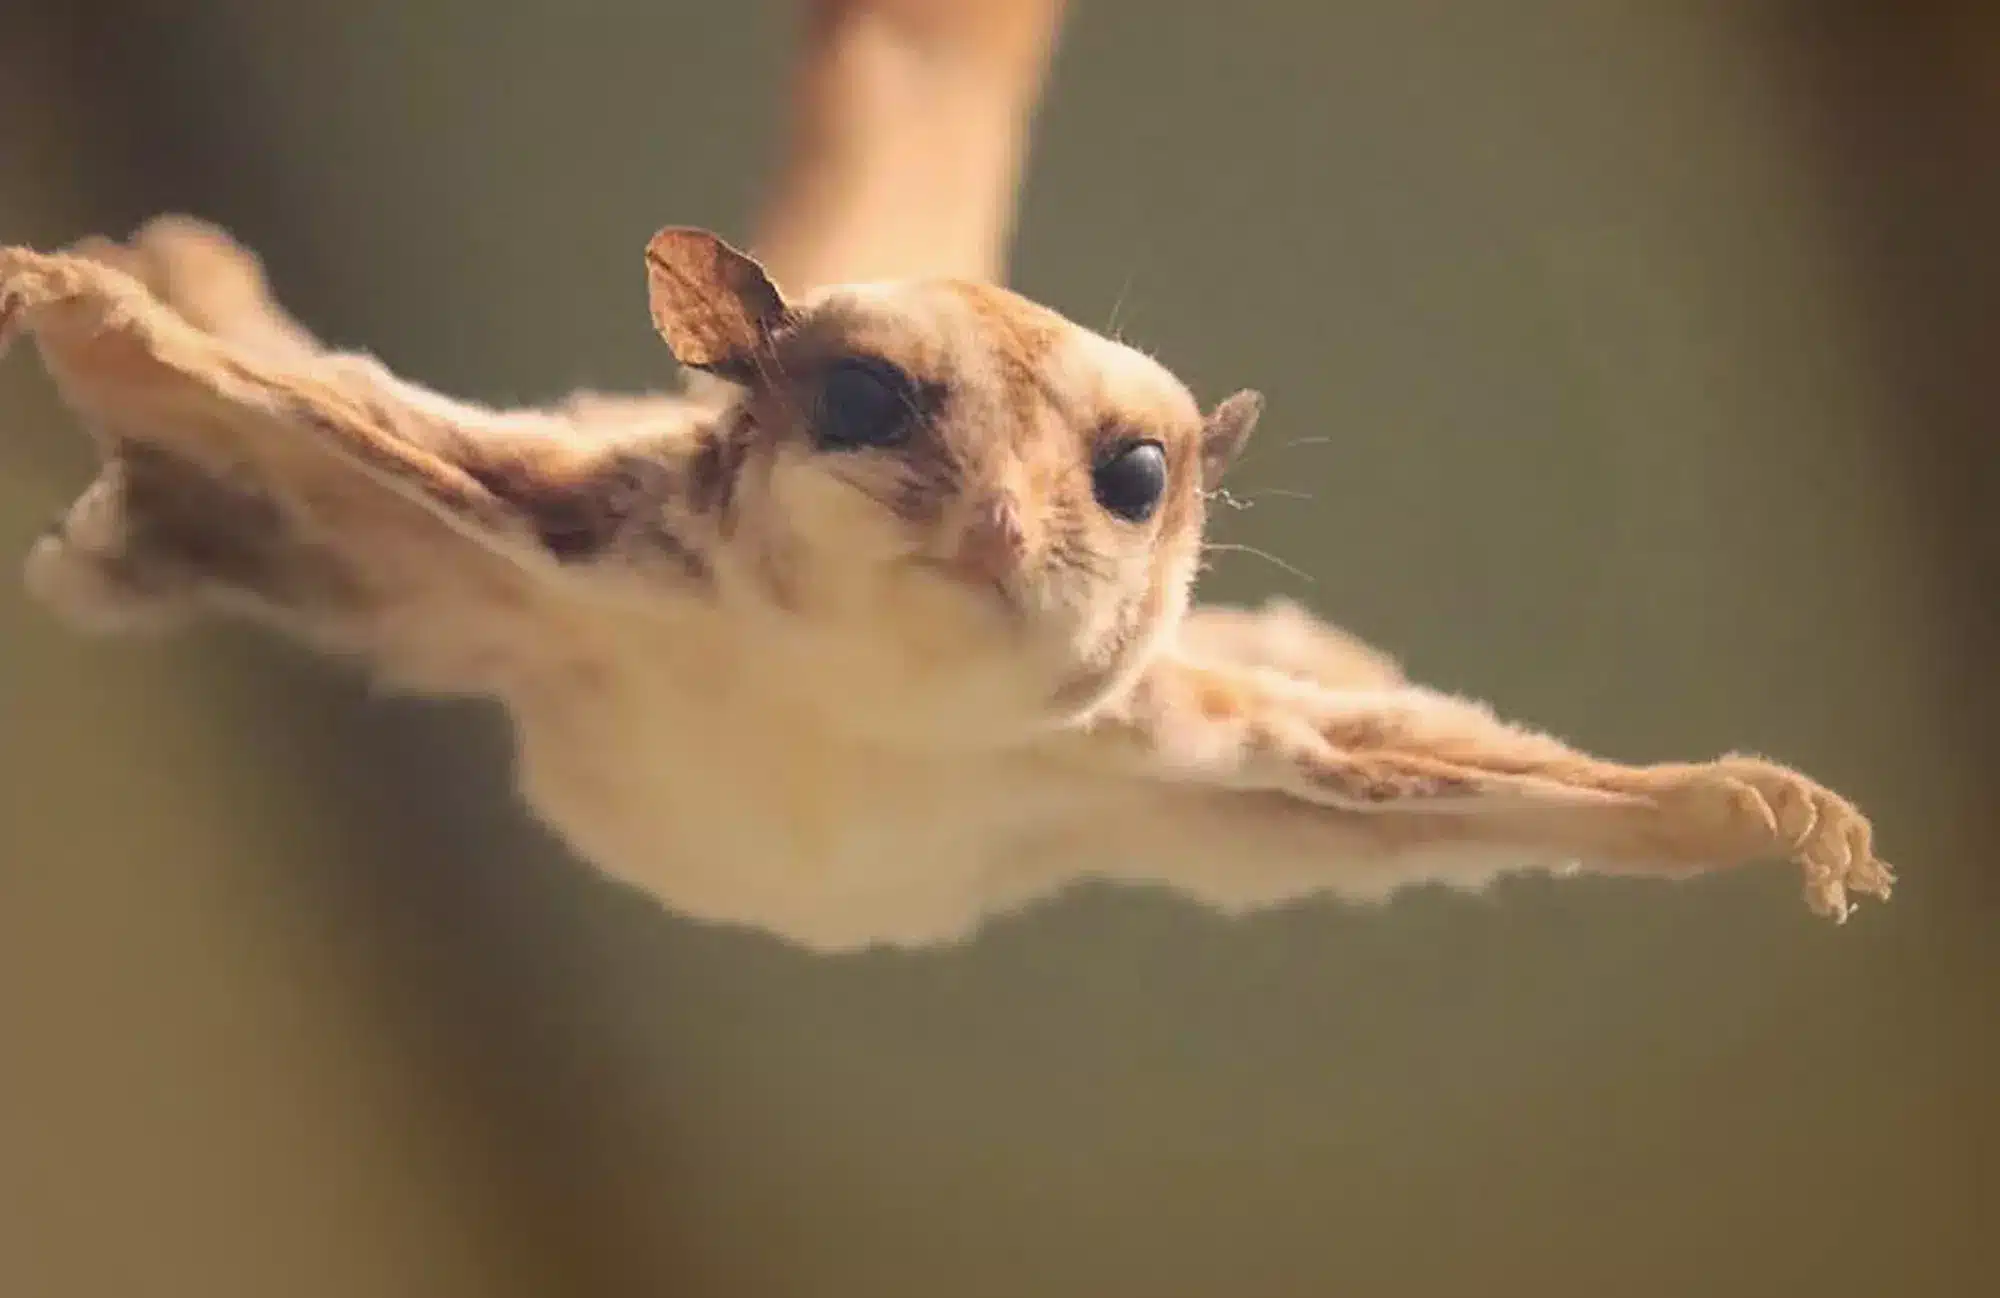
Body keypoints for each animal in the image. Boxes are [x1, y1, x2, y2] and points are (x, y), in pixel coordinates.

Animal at [0, 217, 1893, 951]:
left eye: (1132, 478)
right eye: (862, 401)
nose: (995, 522)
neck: (849, 730)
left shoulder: (1193, 739)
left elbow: (1449, 771)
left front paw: (1753, 810)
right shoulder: (540, 510)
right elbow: (274, 397)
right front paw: (78, 293)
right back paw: (182, 271)